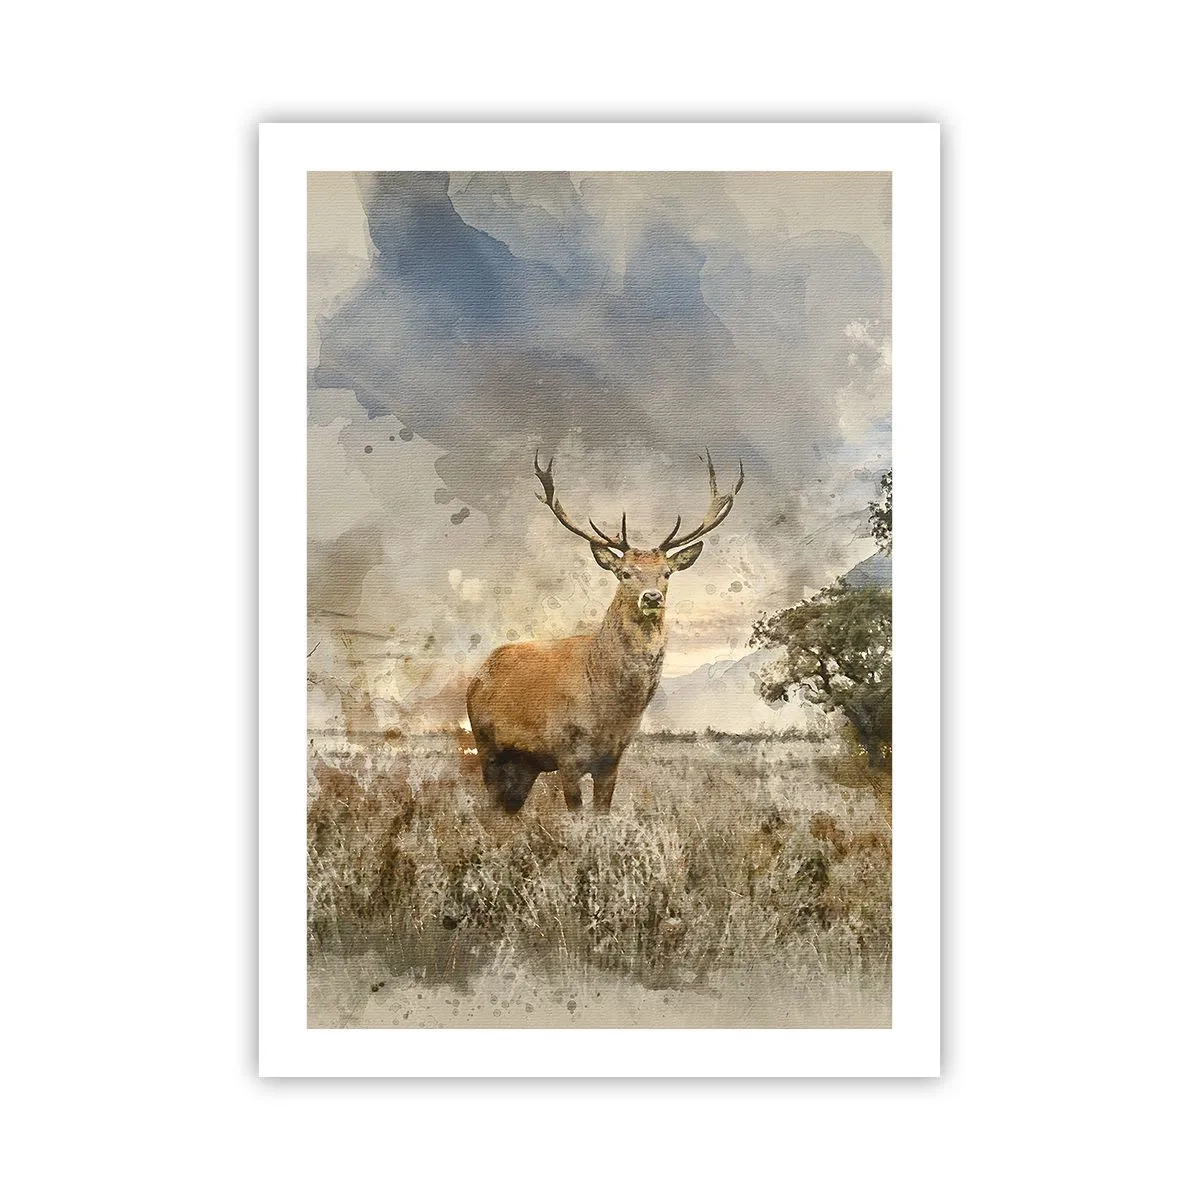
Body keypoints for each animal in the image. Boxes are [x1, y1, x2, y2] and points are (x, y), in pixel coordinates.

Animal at [466, 450, 744, 812]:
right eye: (625, 572)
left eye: (667, 573)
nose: (651, 597)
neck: (609, 708)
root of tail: (477, 675)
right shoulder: (565, 752)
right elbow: (576, 814)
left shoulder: (612, 759)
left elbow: (602, 813)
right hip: (486, 745)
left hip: (524, 764)